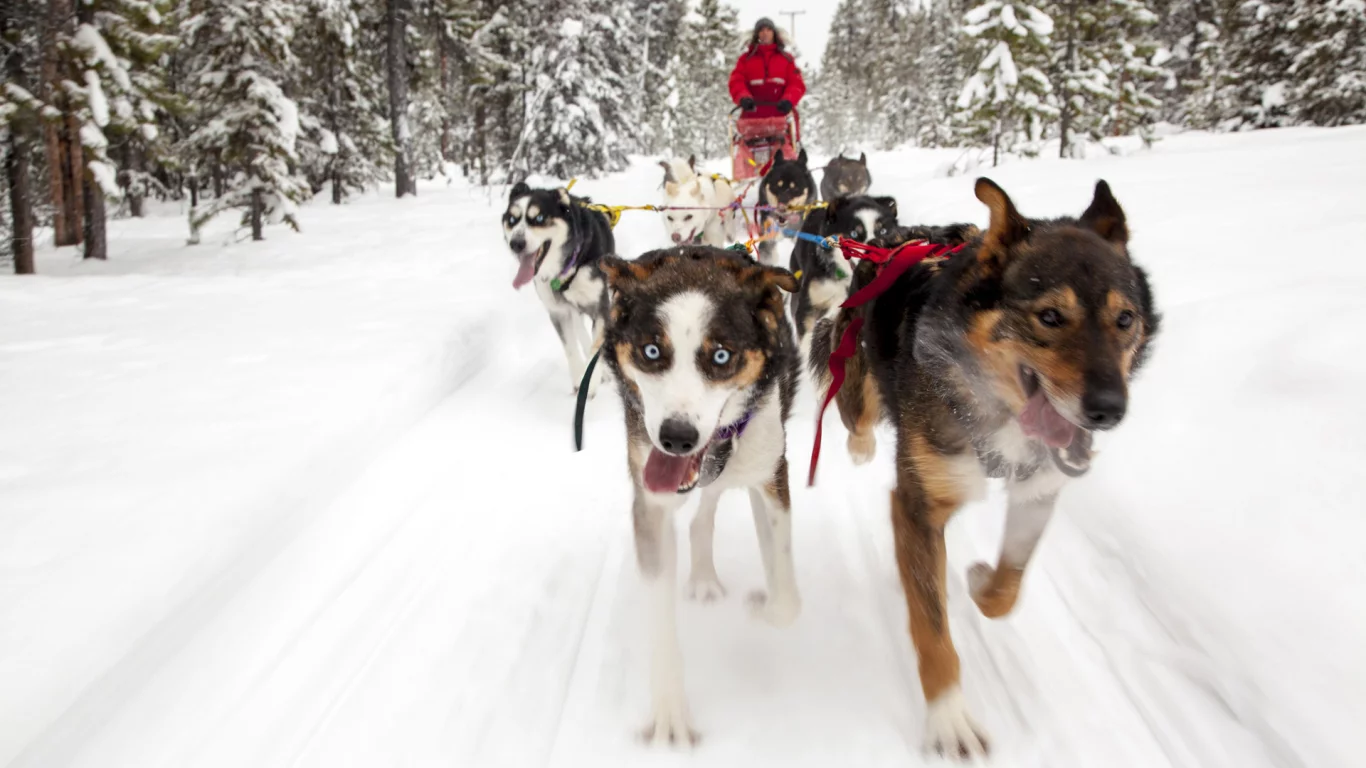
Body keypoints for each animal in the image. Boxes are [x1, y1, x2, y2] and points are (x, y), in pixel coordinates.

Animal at [502, 181, 614, 390]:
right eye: (512, 220)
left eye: (539, 218)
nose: (516, 243)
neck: (566, 268)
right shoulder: (558, 312)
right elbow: (570, 348)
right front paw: (579, 380)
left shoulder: (600, 307)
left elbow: (595, 349)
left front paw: (591, 382)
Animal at [598, 244, 797, 743]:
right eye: (652, 351)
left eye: (721, 357)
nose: (677, 437)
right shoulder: (650, 504)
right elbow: (660, 617)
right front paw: (670, 712)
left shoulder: (772, 474)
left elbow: (786, 597)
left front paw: (762, 609)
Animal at [819, 176, 1163, 754]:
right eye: (1050, 316)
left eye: (1125, 319)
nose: (1109, 410)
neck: (995, 406)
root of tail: (889, 239)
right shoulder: (919, 504)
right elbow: (932, 628)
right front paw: (948, 716)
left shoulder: (1038, 490)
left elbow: (1008, 587)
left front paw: (981, 581)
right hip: (859, 382)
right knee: (856, 415)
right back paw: (859, 447)